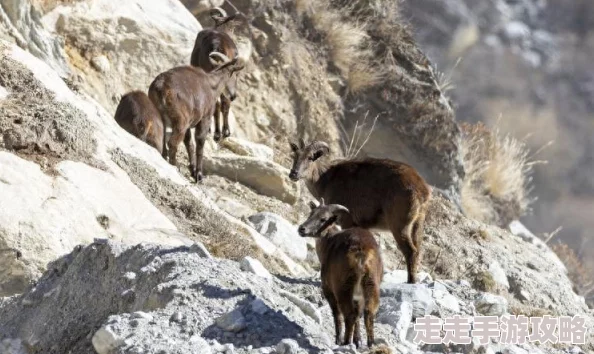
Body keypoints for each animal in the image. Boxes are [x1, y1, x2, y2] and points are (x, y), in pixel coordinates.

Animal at [149, 51, 244, 183]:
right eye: (235, 76)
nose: (233, 96)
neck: (211, 85)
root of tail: (160, 87)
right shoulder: (205, 118)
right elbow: (200, 142)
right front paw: (198, 174)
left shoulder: (190, 123)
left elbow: (189, 143)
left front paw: (193, 169)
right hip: (180, 121)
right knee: (172, 143)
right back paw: (174, 165)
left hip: (163, 118)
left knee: (162, 137)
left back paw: (164, 157)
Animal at [188, 6, 237, 142]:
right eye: (232, 27)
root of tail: (217, 45)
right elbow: (225, 103)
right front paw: (224, 132)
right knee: (218, 104)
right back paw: (217, 132)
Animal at [288, 140, 430, 284]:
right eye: (295, 155)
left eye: (310, 157)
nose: (293, 174)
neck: (326, 180)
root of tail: (423, 191)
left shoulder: (347, 220)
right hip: (418, 223)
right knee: (418, 249)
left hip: (399, 224)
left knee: (410, 251)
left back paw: (410, 281)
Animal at [298, 201, 382, 348]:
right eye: (311, 213)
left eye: (323, 219)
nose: (302, 229)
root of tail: (361, 254)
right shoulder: (358, 296)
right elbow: (358, 313)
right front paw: (358, 340)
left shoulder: (328, 288)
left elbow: (337, 314)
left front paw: (339, 339)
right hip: (372, 283)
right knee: (368, 312)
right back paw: (370, 343)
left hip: (342, 286)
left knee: (348, 314)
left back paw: (345, 342)